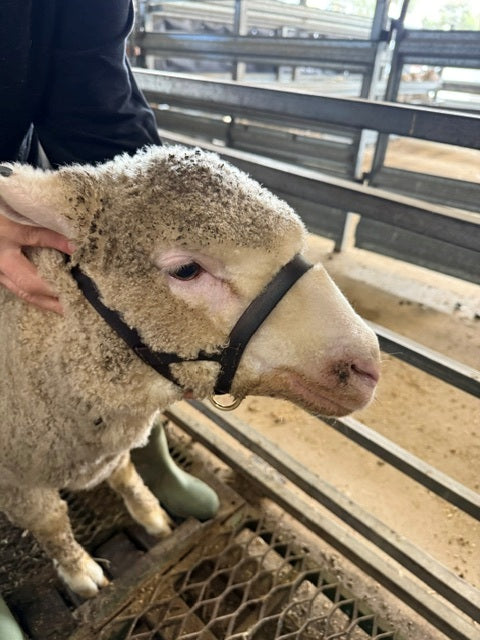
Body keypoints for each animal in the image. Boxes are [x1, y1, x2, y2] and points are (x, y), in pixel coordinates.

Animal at [0, 145, 380, 598]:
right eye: (186, 270)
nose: (367, 367)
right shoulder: (17, 481)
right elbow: (51, 521)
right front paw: (81, 572)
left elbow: (124, 471)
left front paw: (151, 514)